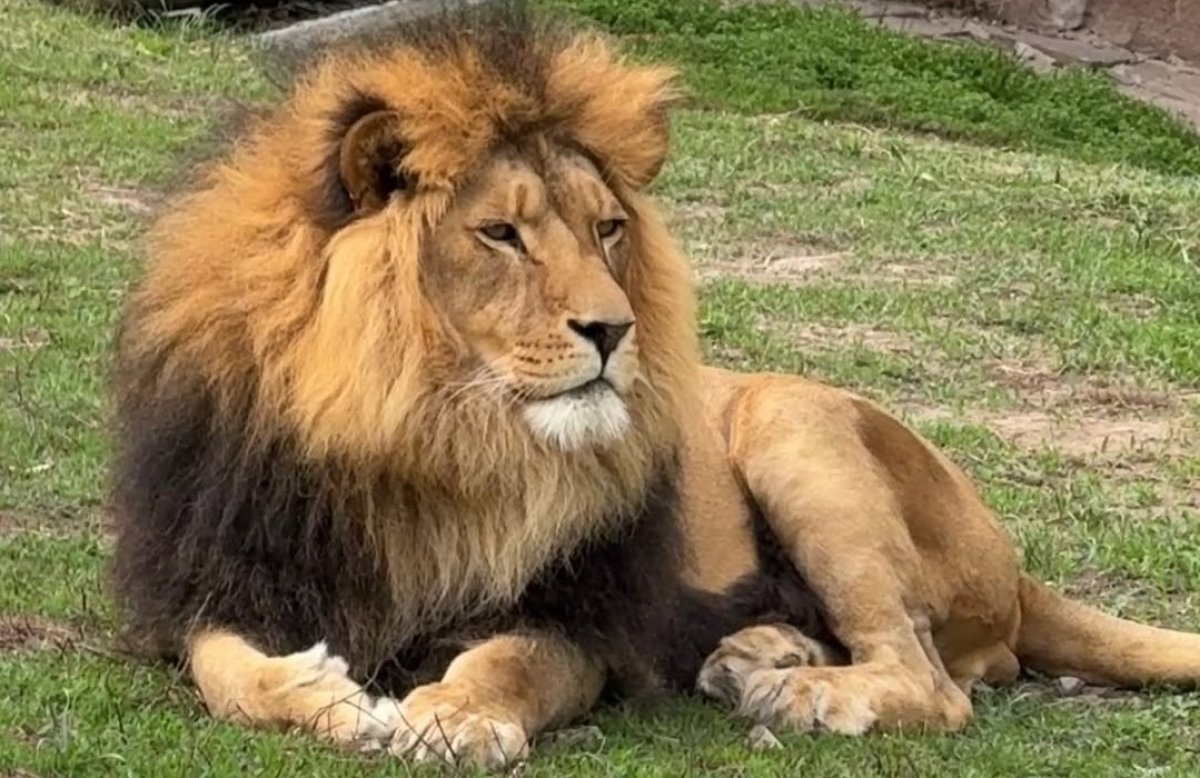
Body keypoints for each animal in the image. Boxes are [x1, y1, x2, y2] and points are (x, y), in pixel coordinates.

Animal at [110, 7, 1200, 770]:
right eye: (501, 234)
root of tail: (1018, 571)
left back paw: (805, 693)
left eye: (607, 229)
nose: (613, 328)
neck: (431, 430)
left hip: (791, 422)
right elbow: (223, 667)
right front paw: (326, 694)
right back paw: (761, 654)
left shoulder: (579, 621)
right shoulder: (230, 565)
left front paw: (454, 716)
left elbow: (506, 659)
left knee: (937, 681)